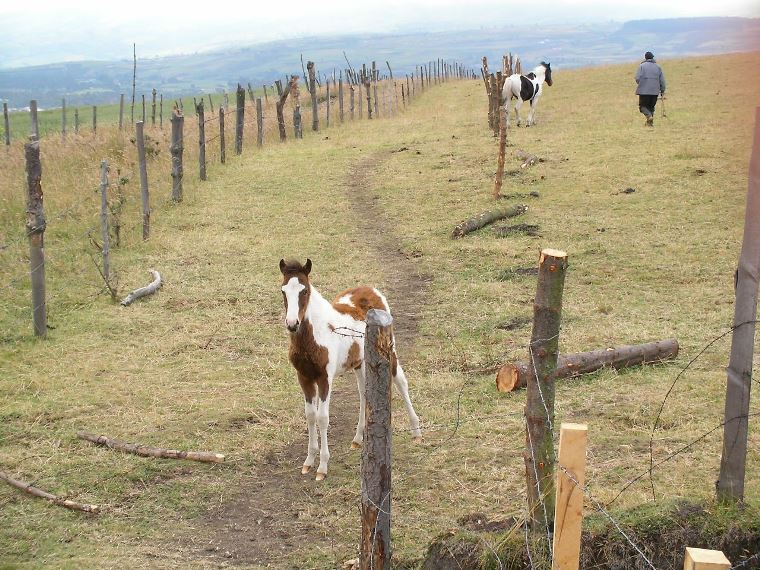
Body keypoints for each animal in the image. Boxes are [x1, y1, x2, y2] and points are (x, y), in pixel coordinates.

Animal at [280, 258, 422, 480]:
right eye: (283, 291)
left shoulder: (325, 377)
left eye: (305, 291)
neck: (316, 332)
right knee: (364, 394)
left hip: (390, 351)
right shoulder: (304, 377)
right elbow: (310, 415)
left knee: (401, 382)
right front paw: (308, 462)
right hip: (360, 362)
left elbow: (322, 417)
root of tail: (372, 289)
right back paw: (357, 438)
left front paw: (322, 467)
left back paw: (416, 432)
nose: (292, 323)